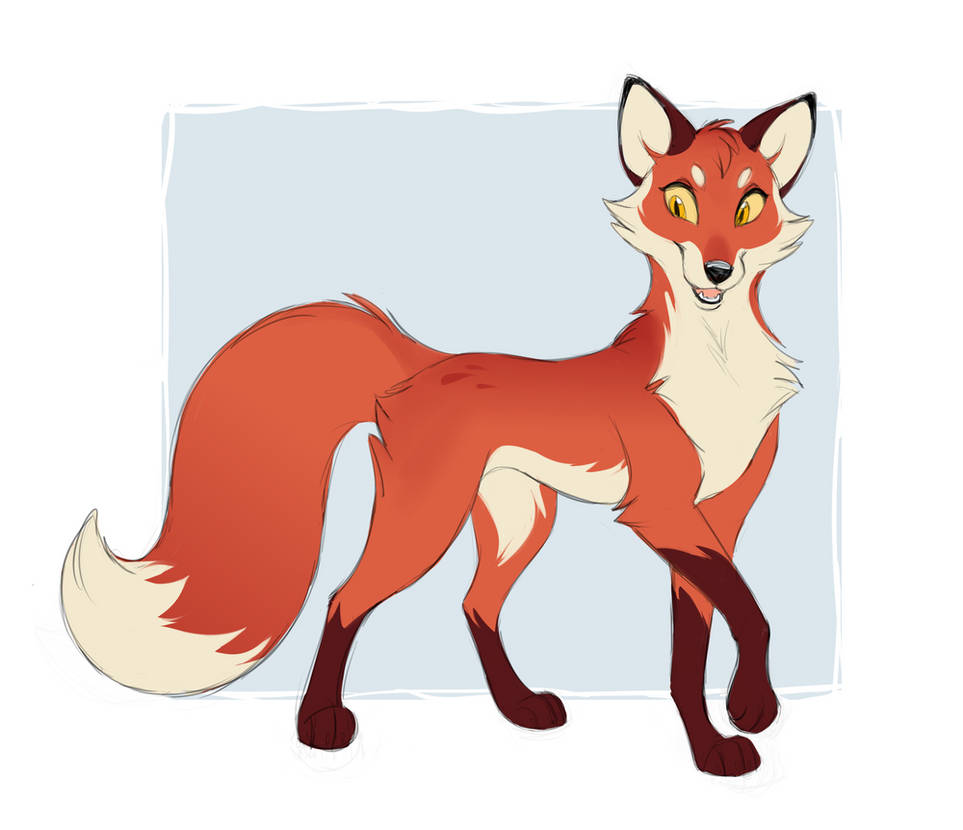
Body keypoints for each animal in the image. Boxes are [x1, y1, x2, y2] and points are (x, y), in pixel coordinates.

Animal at [61, 77, 817, 777]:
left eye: (749, 205)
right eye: (679, 202)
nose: (715, 268)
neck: (717, 376)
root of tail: (420, 361)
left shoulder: (715, 516)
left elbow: (702, 643)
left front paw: (723, 729)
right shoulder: (661, 511)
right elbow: (750, 616)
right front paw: (738, 726)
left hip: (521, 521)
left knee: (475, 604)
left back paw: (518, 708)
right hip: (428, 520)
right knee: (344, 599)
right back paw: (320, 723)